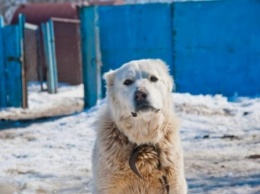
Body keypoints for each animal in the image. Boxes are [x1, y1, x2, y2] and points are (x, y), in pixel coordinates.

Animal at [92, 59, 187, 194]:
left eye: (153, 78)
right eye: (127, 82)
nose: (140, 94)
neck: (143, 139)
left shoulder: (175, 184)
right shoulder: (107, 187)